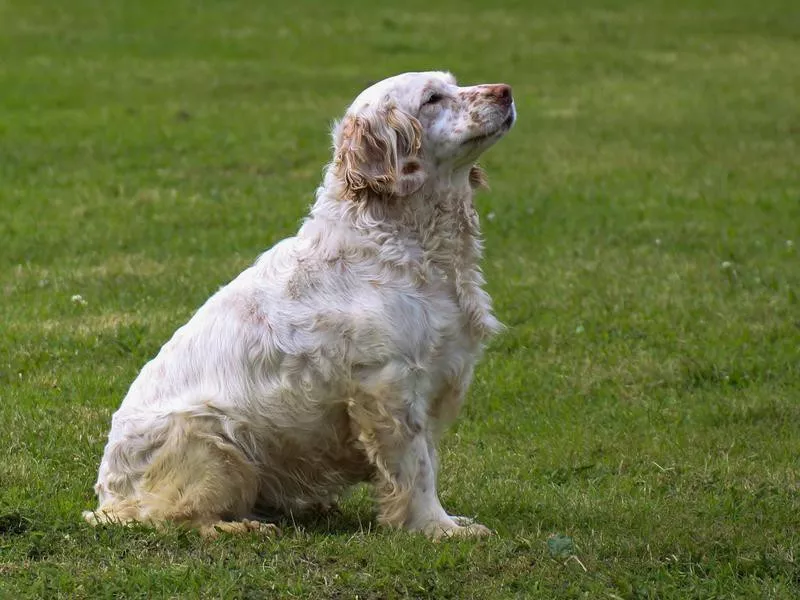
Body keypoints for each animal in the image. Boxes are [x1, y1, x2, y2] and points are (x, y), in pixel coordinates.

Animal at [84, 70, 516, 540]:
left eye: (454, 83)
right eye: (433, 98)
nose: (505, 91)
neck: (405, 237)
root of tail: (109, 496)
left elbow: (429, 461)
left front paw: (449, 520)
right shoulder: (389, 384)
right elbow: (416, 468)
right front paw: (437, 527)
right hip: (213, 440)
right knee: (177, 518)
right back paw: (246, 527)